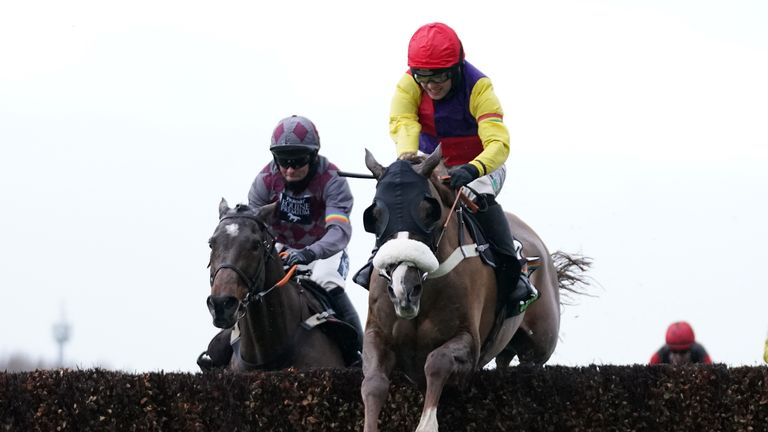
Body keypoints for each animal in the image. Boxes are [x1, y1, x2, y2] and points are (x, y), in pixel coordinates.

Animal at [358, 147, 588, 430]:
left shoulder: (469, 343)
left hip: (537, 349)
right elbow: (373, 383)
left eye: (429, 211)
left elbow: (437, 362)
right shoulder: (377, 335)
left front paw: (427, 424)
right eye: (375, 215)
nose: (404, 289)